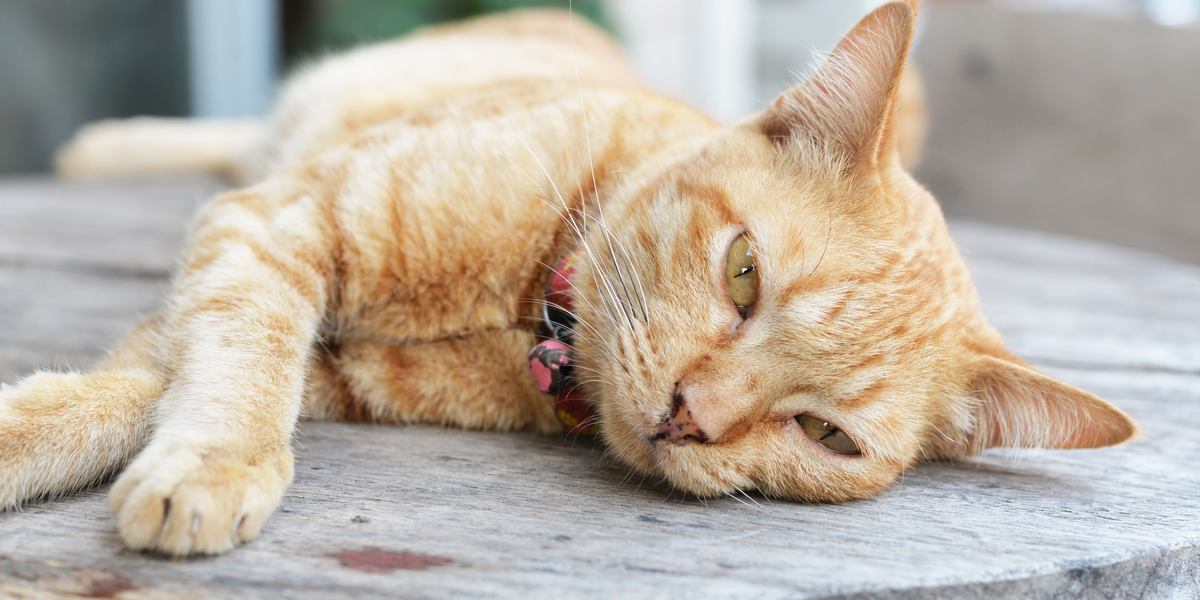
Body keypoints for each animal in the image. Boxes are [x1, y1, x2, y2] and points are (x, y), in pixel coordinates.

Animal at [0, 3, 1132, 556]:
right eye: (745, 273)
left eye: (827, 436)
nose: (689, 417)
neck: (525, 306)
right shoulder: (278, 223)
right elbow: (223, 361)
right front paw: (211, 464)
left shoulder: (331, 359)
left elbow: (153, 384)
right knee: (240, 130)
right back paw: (102, 148)